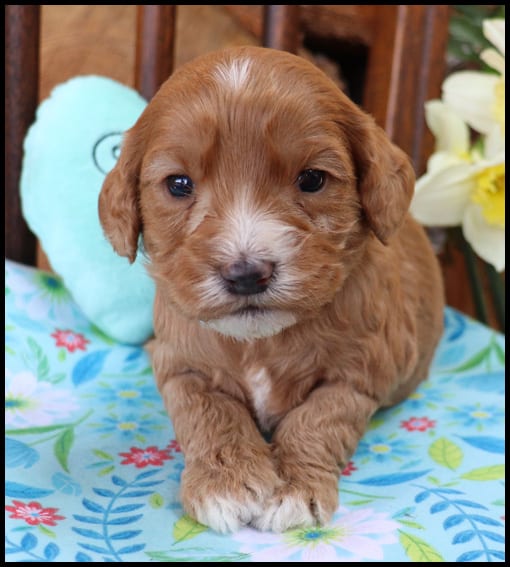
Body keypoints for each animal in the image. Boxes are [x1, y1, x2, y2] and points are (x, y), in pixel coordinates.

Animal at [97, 46, 444, 536]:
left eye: (312, 179)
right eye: (179, 184)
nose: (246, 274)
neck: (260, 341)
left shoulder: (363, 372)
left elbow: (318, 418)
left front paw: (294, 488)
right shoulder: (178, 362)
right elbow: (208, 411)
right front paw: (223, 482)